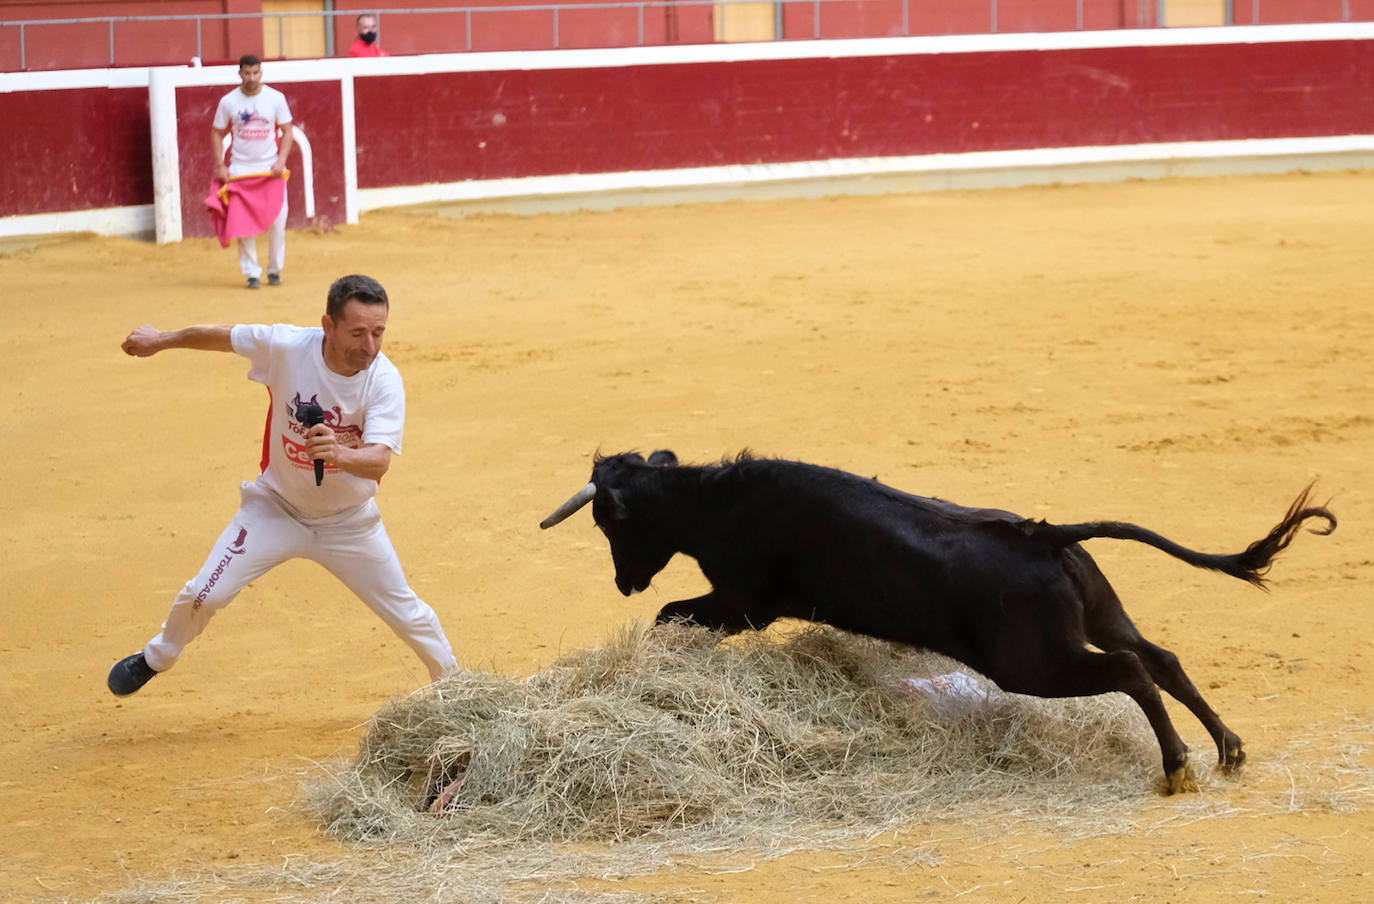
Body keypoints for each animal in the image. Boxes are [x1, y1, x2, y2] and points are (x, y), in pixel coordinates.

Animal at [541, 450, 1335, 791]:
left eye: (609, 523)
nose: (623, 581)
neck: (715, 500)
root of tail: (1039, 533)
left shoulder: (740, 604)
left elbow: (672, 614)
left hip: (1033, 663)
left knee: (1131, 670)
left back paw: (1176, 767)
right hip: (1099, 616)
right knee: (1159, 657)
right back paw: (1228, 749)